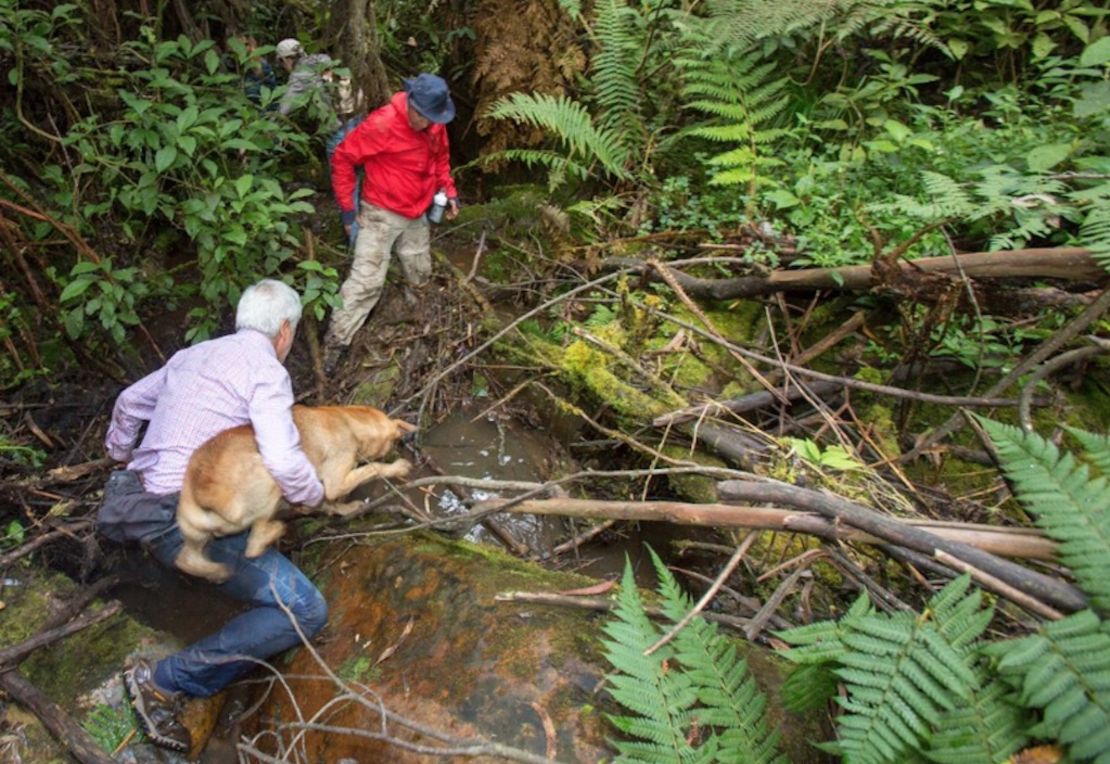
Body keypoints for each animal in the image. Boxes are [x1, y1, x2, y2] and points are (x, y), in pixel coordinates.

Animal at [175, 406, 415, 577]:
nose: (398, 447)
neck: (348, 422)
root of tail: (203, 491)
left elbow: (328, 503)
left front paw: (345, 509)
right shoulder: (335, 479)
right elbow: (373, 469)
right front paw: (397, 468)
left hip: (195, 534)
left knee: (185, 560)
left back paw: (216, 572)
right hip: (269, 477)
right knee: (253, 545)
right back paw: (275, 531)